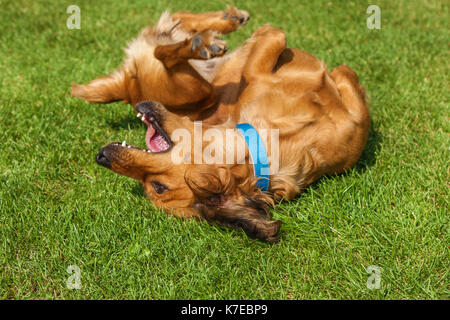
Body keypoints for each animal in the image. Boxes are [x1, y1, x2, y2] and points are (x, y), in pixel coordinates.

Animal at [72, 7, 370, 241]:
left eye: (157, 187)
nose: (101, 157)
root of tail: (127, 90)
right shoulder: (264, 53)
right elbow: (278, 35)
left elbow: (345, 74)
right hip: (187, 90)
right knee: (162, 48)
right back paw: (203, 42)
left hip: (194, 91)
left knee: (171, 28)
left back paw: (221, 25)